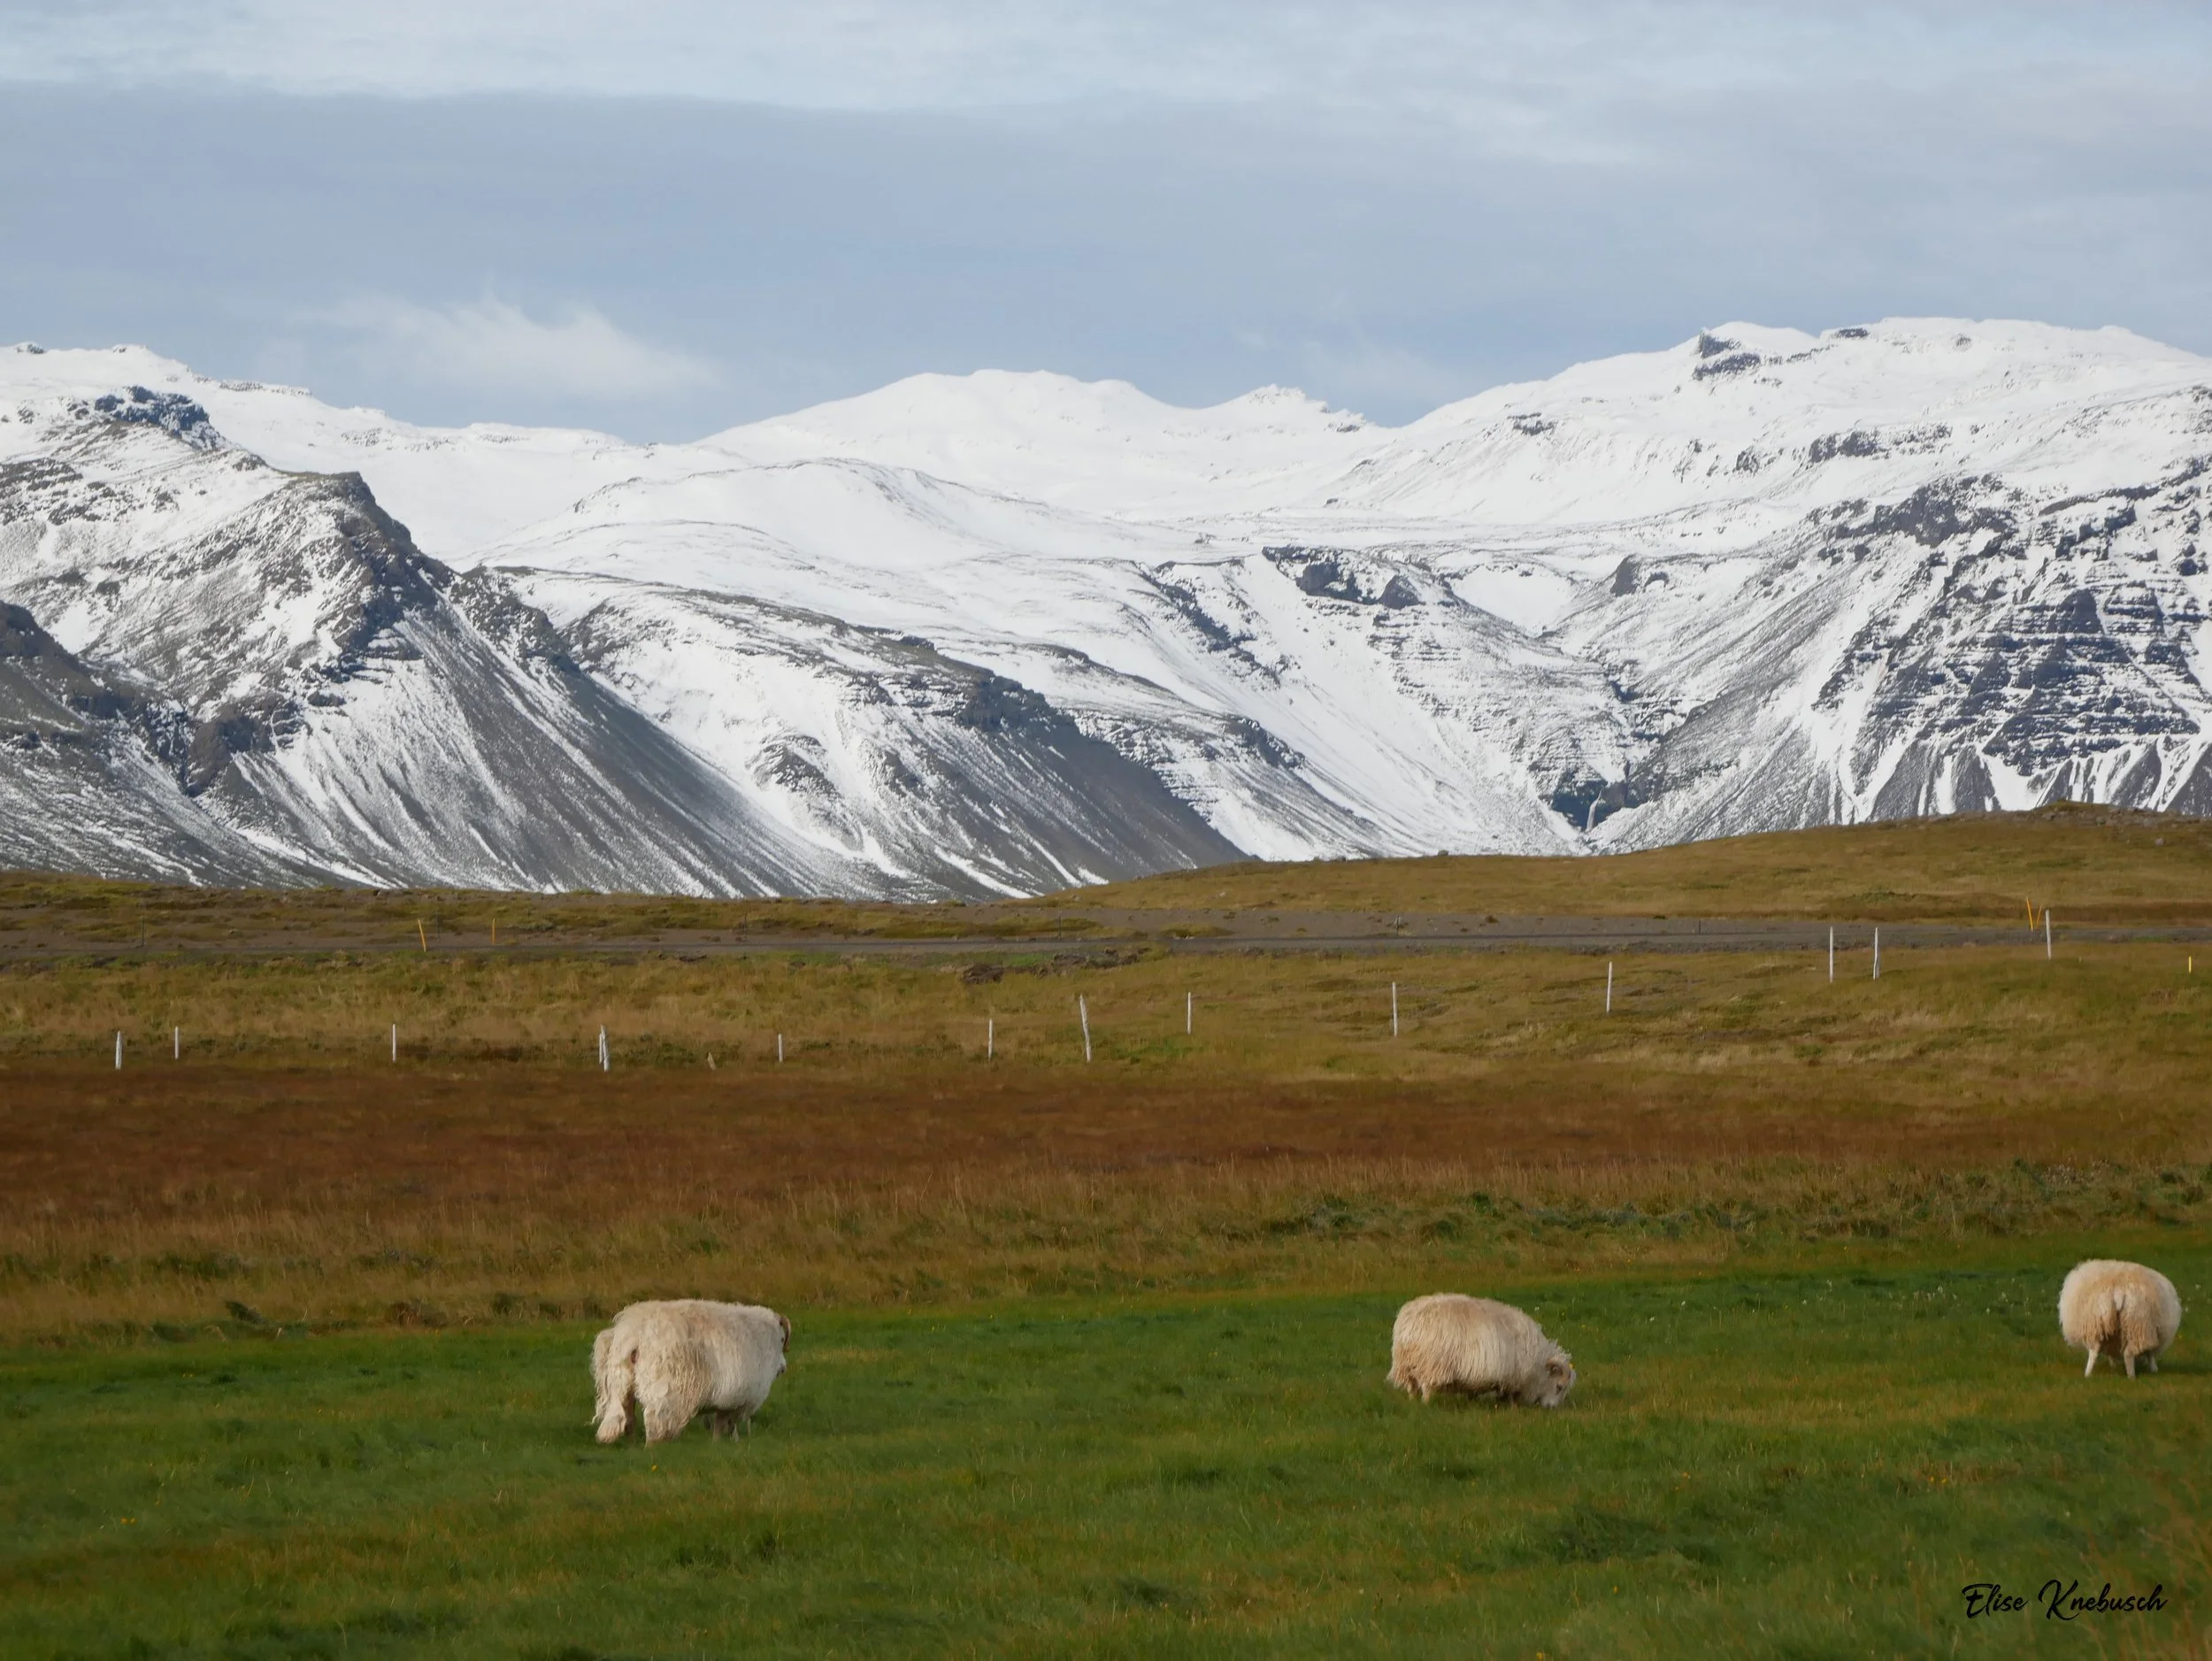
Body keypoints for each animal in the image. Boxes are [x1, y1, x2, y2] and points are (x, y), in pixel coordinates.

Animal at [591, 1299, 790, 1444]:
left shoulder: (728, 1398)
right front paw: (730, 1442)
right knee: (652, 1418)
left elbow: (721, 1424)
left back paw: (632, 1446)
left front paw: (718, 1444)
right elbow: (727, 1424)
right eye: (782, 1339)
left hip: (622, 1383)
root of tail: (632, 1333)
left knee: (628, 1416)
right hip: (664, 1386)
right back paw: (654, 1446)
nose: (783, 1368)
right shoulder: (738, 1397)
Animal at [1387, 1293, 1576, 1408]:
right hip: (1432, 1364)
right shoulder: (1514, 1376)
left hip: (1406, 1365)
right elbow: (1511, 1395)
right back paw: (1427, 1404)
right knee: (1427, 1387)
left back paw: (1413, 1402)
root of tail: (1409, 1325)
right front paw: (1512, 1406)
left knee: (1411, 1386)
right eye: (1559, 1387)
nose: (1551, 1408)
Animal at [2059, 1260, 2182, 1379]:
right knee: (2129, 1353)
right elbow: (2150, 1354)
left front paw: (2113, 1364)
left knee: (2094, 1350)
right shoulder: (2153, 1334)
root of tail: (2119, 1291)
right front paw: (2154, 1369)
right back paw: (2131, 1377)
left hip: (2096, 1325)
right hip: (2138, 1326)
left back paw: (2088, 1374)